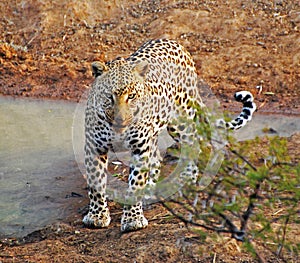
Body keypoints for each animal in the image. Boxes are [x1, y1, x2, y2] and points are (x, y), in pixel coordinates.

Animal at [82, 38, 255, 232]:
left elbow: (136, 182)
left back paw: (186, 183)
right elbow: (96, 183)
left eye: (131, 96)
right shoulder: (95, 147)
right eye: (109, 97)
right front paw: (97, 216)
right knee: (157, 158)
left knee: (192, 147)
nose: (121, 119)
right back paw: (150, 190)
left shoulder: (139, 147)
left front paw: (133, 220)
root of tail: (176, 43)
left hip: (180, 122)